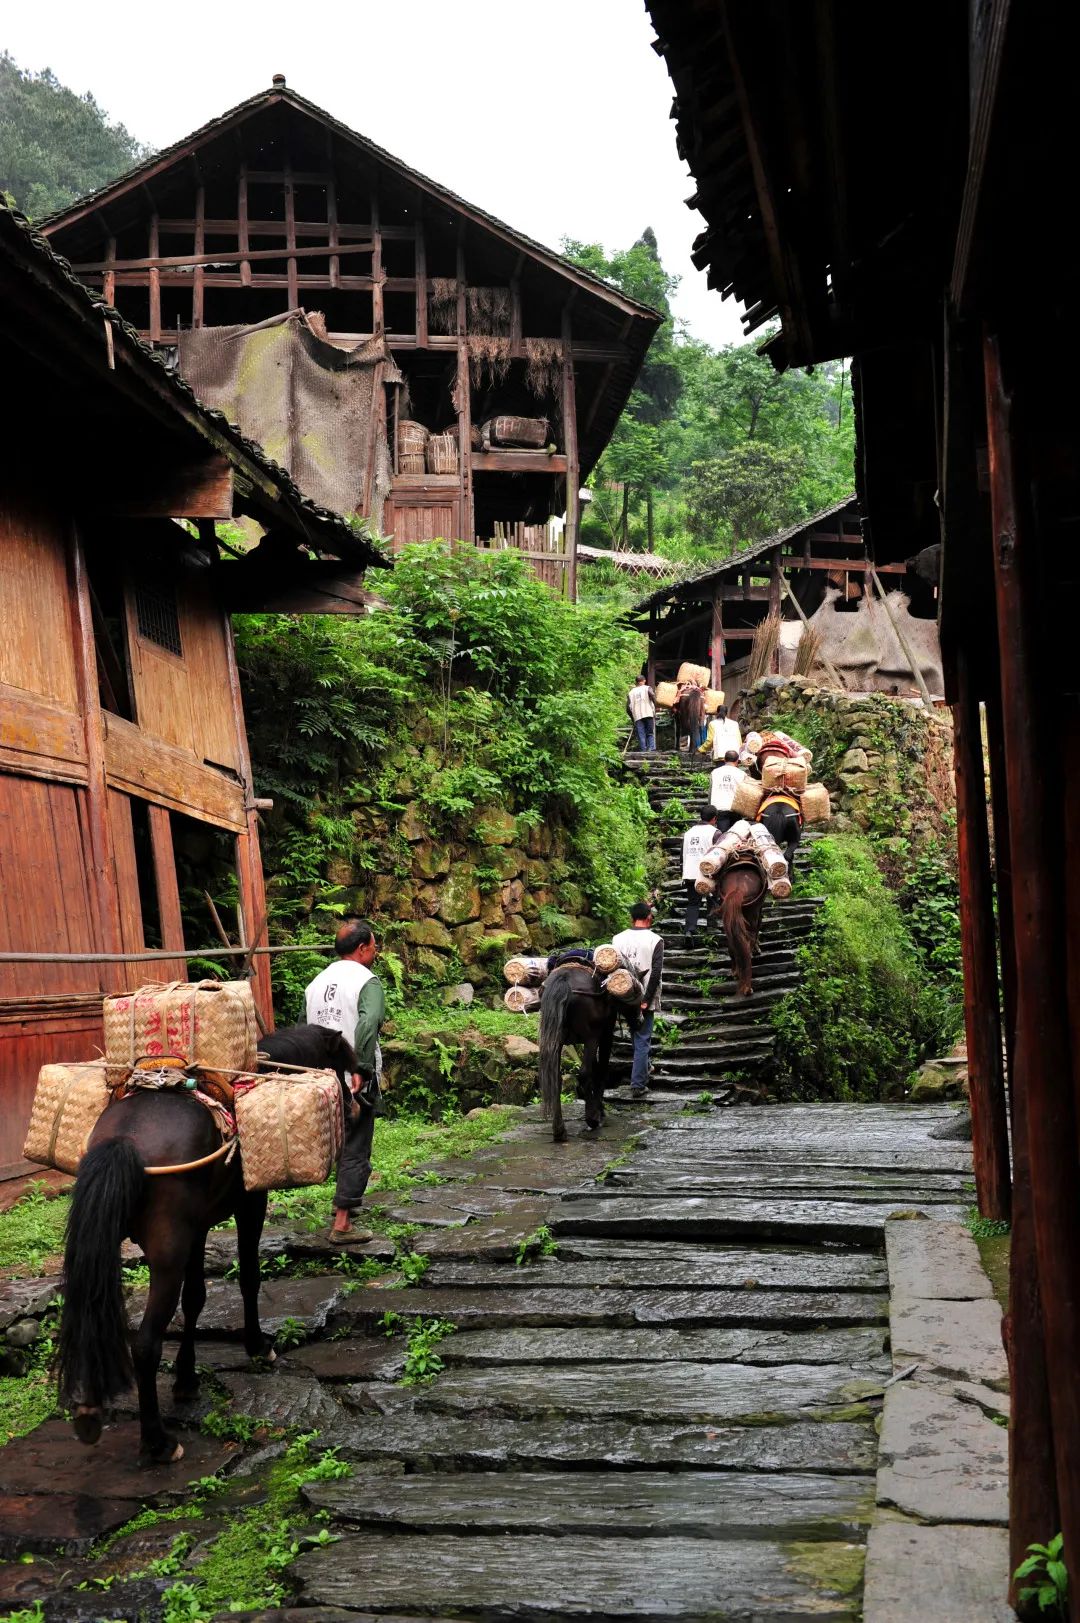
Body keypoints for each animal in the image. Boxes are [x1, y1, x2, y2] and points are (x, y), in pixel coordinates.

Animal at [55, 1025, 354, 1460]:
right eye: (344, 1067)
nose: (357, 1107)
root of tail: (126, 1141)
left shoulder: (196, 1231)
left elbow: (195, 1298)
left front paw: (186, 1379)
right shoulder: (250, 1206)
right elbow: (248, 1277)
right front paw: (257, 1346)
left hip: (102, 1243)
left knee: (90, 1313)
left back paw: (89, 1412)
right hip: (166, 1256)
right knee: (145, 1344)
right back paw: (158, 1442)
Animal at [532, 960, 610, 1142]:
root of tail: (564, 978)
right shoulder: (605, 1032)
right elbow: (600, 1069)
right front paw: (600, 1112)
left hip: (556, 1038)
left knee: (556, 1078)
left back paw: (559, 1130)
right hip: (591, 1037)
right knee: (585, 1073)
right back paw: (592, 1119)